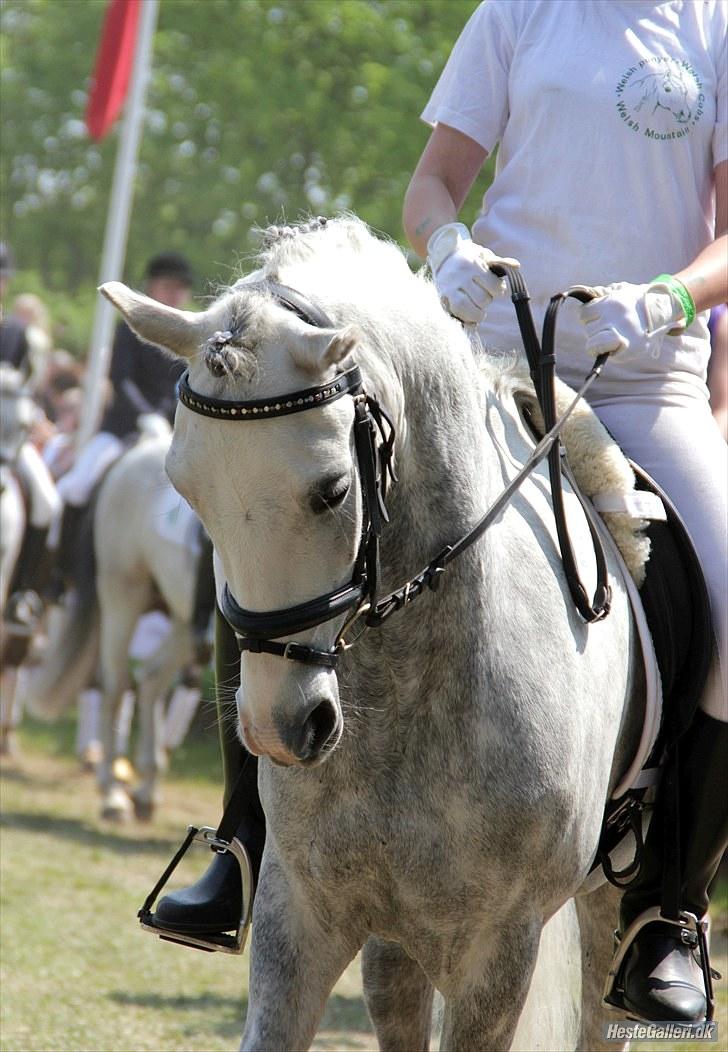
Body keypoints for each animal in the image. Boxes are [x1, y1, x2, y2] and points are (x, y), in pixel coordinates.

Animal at [23, 426, 204, 820]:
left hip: (181, 617)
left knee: (150, 679)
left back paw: (146, 788)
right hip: (123, 594)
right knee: (116, 682)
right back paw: (112, 791)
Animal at [102, 217, 643, 1050]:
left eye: (332, 492)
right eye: (186, 491)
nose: (282, 727)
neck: (409, 680)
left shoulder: (499, 949)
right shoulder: (301, 912)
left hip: (600, 908)